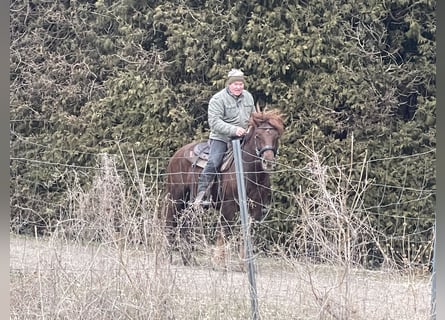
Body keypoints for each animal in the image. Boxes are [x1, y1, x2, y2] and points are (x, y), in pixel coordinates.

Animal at [163, 109, 284, 268]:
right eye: (258, 135)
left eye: (276, 136)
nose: (268, 161)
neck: (248, 171)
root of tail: (176, 155)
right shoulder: (228, 206)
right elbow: (225, 232)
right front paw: (219, 262)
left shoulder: (255, 208)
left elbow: (247, 232)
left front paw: (245, 263)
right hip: (176, 198)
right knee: (170, 222)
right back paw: (168, 257)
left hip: (189, 204)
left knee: (185, 226)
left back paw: (189, 259)